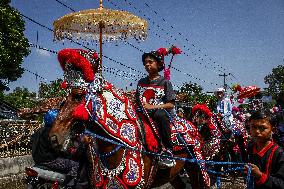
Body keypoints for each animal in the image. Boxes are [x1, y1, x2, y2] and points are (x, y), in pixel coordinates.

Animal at [48, 49, 211, 189]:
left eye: (78, 95)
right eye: (63, 99)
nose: (53, 138)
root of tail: (193, 126)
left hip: (195, 167)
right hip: (174, 173)